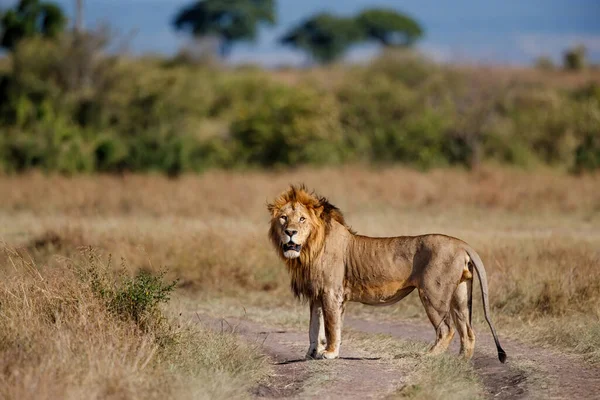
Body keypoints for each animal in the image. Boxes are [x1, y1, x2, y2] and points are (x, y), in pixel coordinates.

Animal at [268, 184, 506, 362]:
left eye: (302, 219)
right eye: (283, 218)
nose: (290, 232)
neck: (308, 249)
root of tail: (462, 244)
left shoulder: (330, 292)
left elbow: (331, 326)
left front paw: (330, 353)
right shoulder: (316, 295)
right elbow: (314, 327)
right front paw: (311, 353)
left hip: (433, 294)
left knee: (447, 330)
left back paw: (428, 356)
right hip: (460, 295)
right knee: (468, 332)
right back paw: (460, 362)